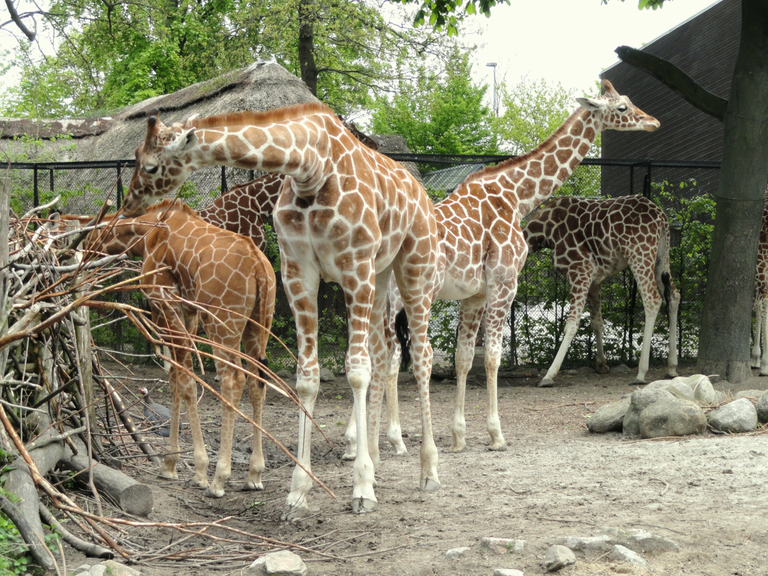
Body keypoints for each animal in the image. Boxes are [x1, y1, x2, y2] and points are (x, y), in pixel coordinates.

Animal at [75, 200, 278, 498]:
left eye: (88, 237)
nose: (82, 262)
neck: (145, 235)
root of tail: (259, 268)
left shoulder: (162, 302)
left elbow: (183, 379)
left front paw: (191, 469)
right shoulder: (188, 312)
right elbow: (176, 377)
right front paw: (174, 464)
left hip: (223, 323)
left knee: (232, 381)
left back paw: (219, 479)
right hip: (260, 324)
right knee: (257, 383)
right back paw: (254, 474)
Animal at [122, 102, 440, 516]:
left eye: (149, 166)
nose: (129, 204)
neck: (312, 167)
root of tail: (420, 189)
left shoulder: (353, 267)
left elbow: (355, 372)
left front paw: (361, 490)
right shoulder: (298, 271)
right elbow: (306, 377)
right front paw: (298, 491)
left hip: (413, 265)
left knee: (421, 355)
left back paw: (428, 470)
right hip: (381, 273)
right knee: (385, 352)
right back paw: (374, 456)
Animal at [368, 79, 656, 454]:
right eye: (622, 107)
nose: (652, 122)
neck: (517, 197)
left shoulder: (474, 294)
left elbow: (463, 358)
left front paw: (459, 437)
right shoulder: (504, 283)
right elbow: (492, 356)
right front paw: (496, 435)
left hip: (386, 301)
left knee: (380, 357)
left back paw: (382, 442)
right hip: (417, 295)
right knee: (412, 356)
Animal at [520, 194, 680, 388]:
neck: (545, 232)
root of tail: (661, 216)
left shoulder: (580, 271)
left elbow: (571, 324)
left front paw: (549, 375)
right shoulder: (594, 280)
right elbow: (597, 322)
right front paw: (601, 364)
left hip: (639, 254)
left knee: (652, 299)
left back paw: (641, 373)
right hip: (662, 256)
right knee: (673, 295)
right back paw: (672, 367)